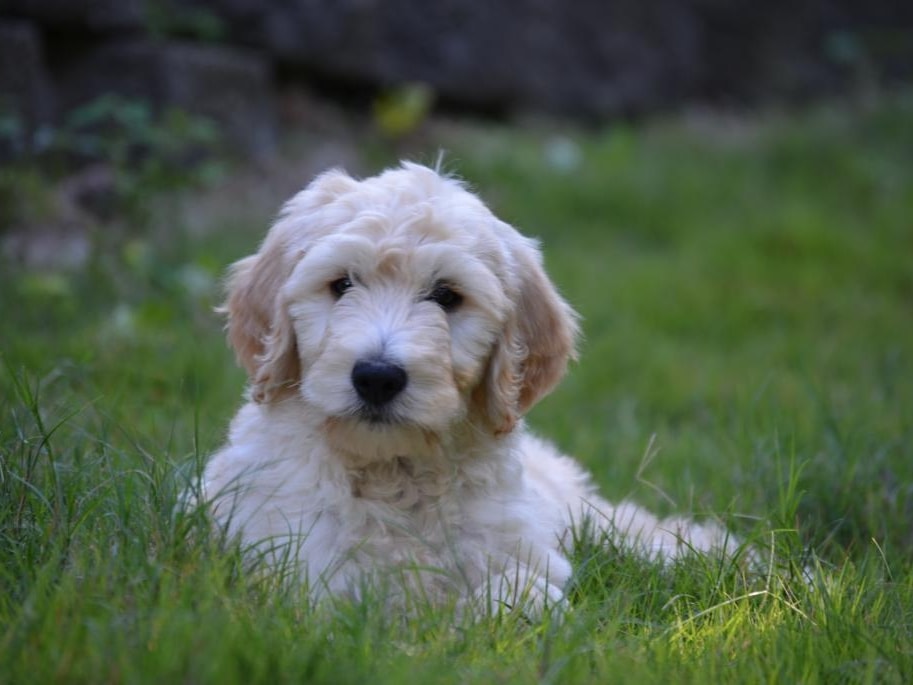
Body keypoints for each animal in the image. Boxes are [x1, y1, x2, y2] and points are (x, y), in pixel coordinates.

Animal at [201, 162, 740, 616]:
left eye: (446, 296)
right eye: (341, 285)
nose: (377, 377)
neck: (392, 471)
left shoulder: (524, 544)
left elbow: (510, 590)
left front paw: (512, 604)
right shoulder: (299, 573)